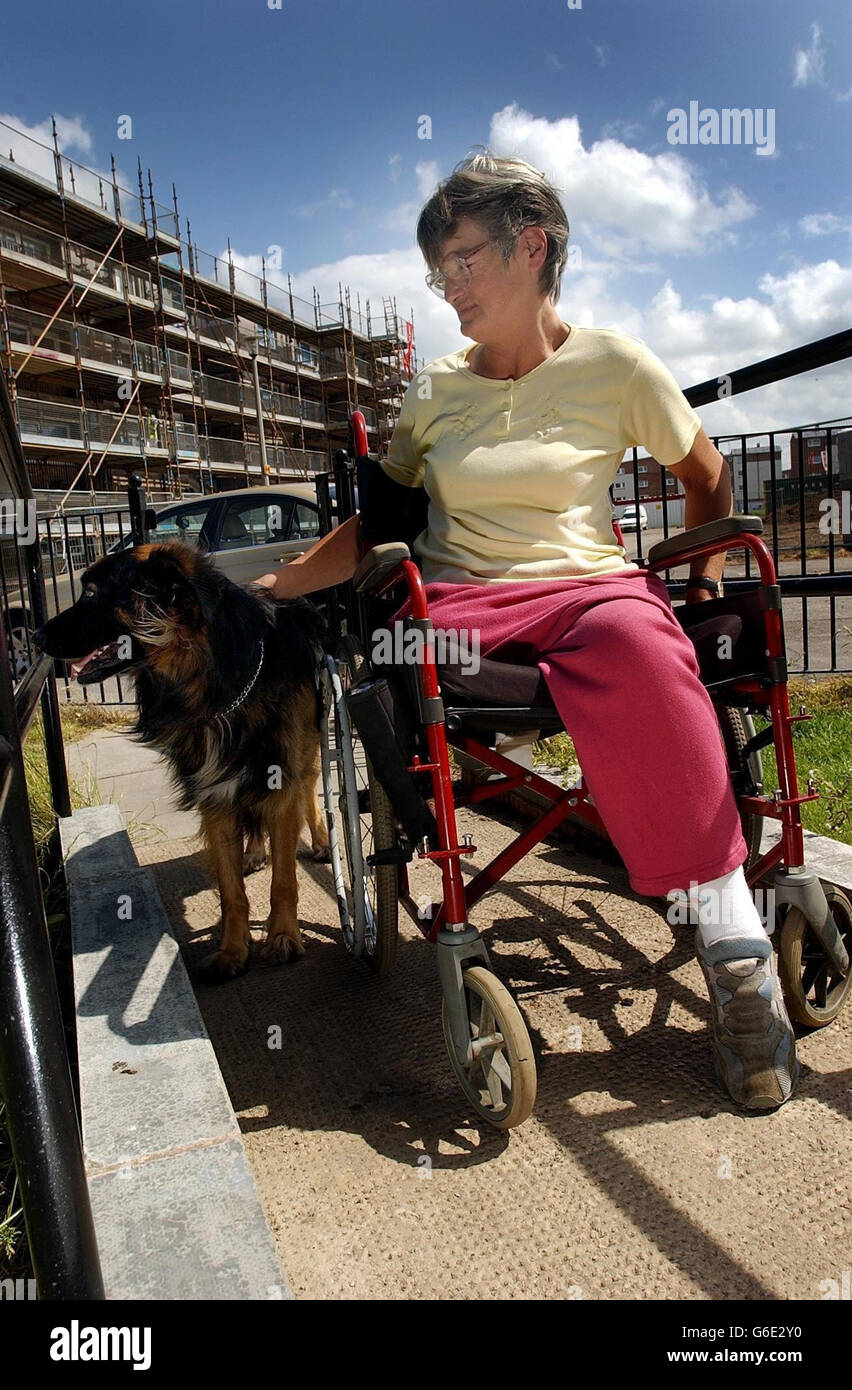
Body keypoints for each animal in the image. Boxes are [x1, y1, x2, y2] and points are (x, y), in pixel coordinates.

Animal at [33, 536, 326, 984]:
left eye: (93, 592)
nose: (33, 635)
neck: (215, 684)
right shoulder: (215, 795)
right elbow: (231, 892)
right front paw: (232, 950)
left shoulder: (281, 779)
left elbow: (284, 879)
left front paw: (282, 936)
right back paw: (254, 852)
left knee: (310, 790)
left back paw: (322, 840)